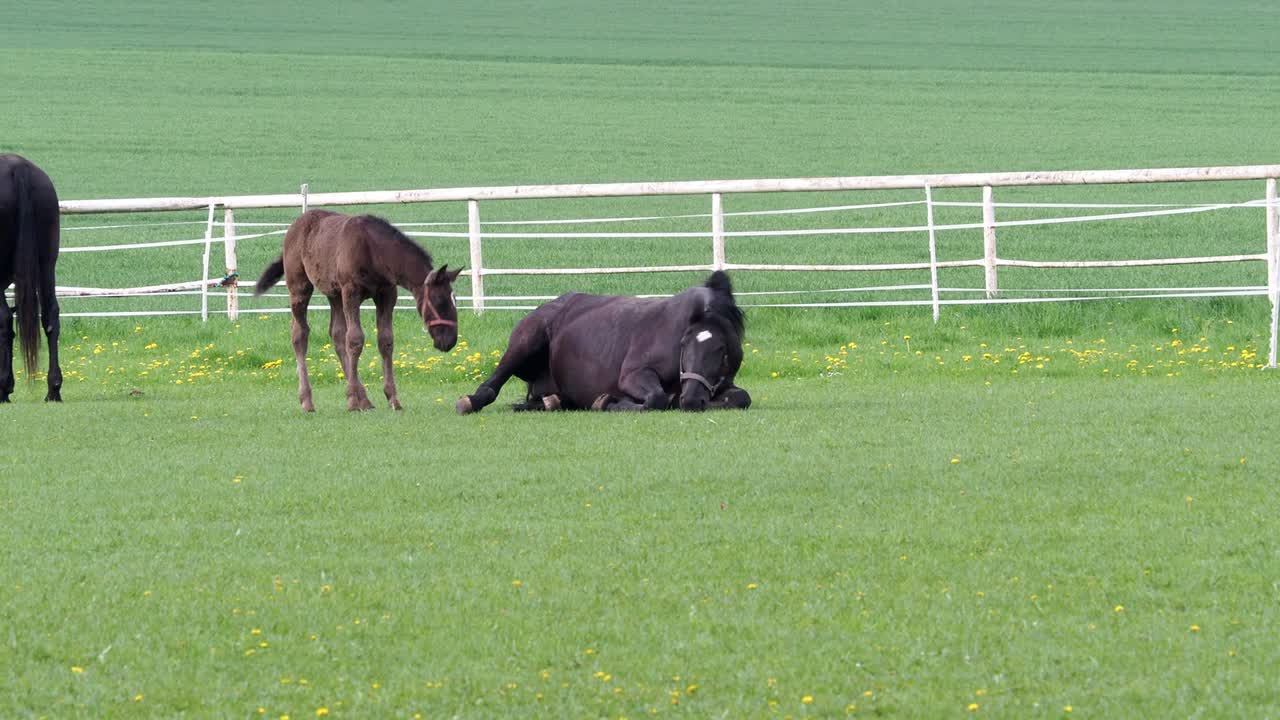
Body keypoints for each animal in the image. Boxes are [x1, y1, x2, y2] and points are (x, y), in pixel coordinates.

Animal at [254, 209, 462, 412]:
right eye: (440, 301)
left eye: (455, 300)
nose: (449, 341)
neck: (375, 251)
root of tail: (293, 227)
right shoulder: (351, 291)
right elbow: (355, 339)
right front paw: (353, 401)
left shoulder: (387, 294)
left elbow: (385, 340)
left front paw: (391, 398)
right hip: (300, 287)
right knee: (300, 334)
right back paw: (308, 401)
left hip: (334, 294)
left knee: (337, 334)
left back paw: (364, 399)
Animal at [457, 270, 751, 414]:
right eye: (683, 344)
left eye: (723, 352)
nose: (691, 400)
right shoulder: (633, 374)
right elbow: (655, 398)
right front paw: (608, 402)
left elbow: (741, 398)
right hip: (524, 343)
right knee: (492, 384)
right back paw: (470, 402)